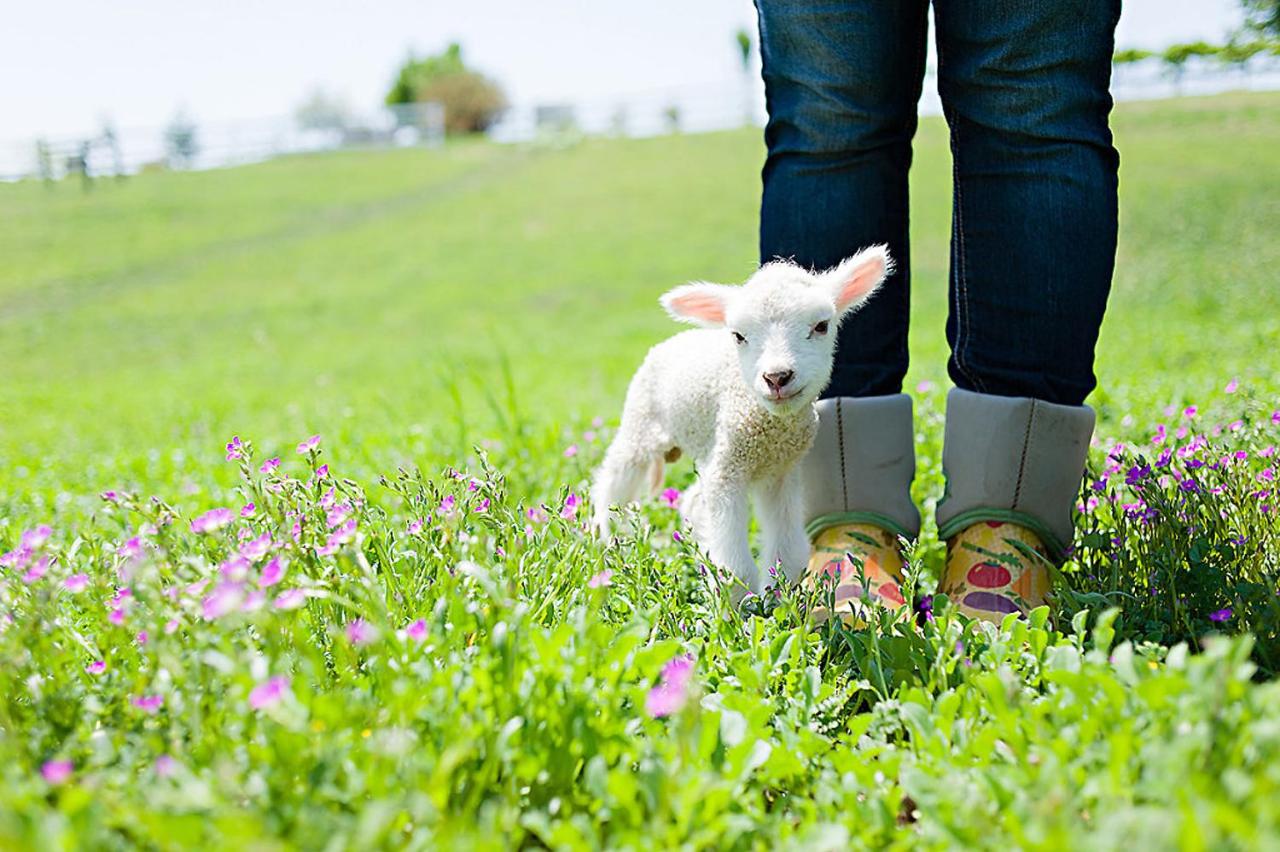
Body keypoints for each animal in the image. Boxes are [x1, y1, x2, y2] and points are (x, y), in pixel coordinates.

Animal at [590, 246, 892, 601]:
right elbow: (734, 568)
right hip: (641, 422)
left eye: (821, 326)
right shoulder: (728, 470)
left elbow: (787, 553)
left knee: (692, 499)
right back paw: (608, 540)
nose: (777, 377)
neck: (769, 430)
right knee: (613, 481)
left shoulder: (779, 473)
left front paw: (779, 598)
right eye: (738, 336)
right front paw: (736, 607)